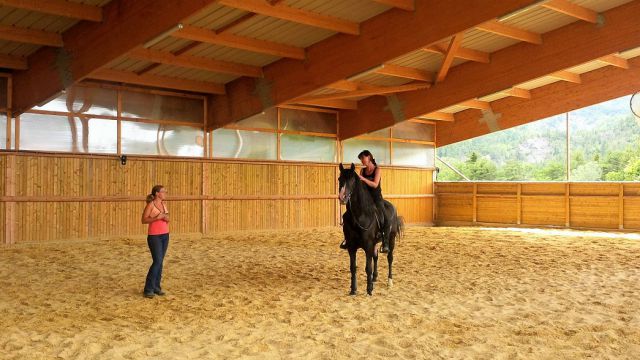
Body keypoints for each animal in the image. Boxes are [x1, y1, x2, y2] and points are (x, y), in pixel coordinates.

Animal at [338, 163, 402, 296]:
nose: (342, 197)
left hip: (391, 239)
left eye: (352, 180)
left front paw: (369, 290)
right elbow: (353, 268)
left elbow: (368, 267)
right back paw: (374, 278)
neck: (359, 216)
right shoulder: (351, 247)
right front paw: (353, 289)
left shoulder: (368, 246)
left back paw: (389, 281)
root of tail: (393, 207)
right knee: (376, 257)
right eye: (339, 179)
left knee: (390, 258)